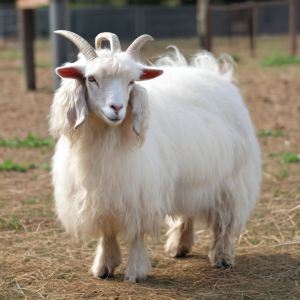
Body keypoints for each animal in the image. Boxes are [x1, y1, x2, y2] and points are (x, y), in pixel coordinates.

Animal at [48, 31, 260, 282]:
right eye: (91, 79)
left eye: (131, 81)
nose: (117, 108)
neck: (106, 140)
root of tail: (212, 72)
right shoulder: (104, 197)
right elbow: (107, 232)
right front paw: (104, 266)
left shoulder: (140, 195)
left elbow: (137, 234)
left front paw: (136, 271)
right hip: (188, 180)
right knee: (187, 212)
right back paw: (179, 246)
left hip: (230, 182)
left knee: (225, 222)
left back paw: (222, 256)